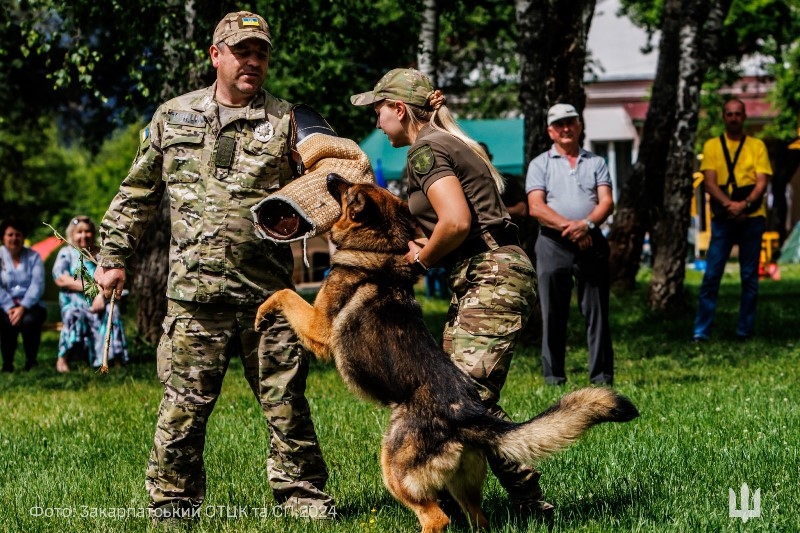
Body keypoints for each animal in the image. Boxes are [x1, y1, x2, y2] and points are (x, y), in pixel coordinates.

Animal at [260, 176, 640, 532]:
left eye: (349, 190)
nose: (330, 178)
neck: (380, 248)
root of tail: (468, 416)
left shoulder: (318, 328)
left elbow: (283, 293)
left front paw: (260, 313)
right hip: (463, 487)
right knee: (478, 518)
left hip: (393, 468)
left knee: (436, 518)